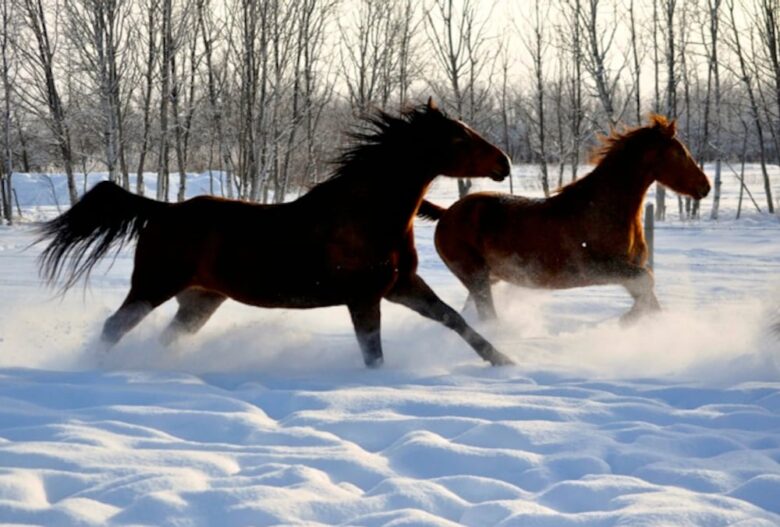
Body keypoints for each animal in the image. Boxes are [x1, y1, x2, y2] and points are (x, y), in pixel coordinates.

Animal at [38, 99, 514, 367]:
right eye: (458, 138)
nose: (504, 163)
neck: (369, 216)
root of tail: (164, 211)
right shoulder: (364, 298)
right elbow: (373, 352)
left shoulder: (402, 285)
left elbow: (454, 319)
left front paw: (503, 360)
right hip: (153, 286)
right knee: (113, 327)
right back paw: (91, 370)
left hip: (199, 299)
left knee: (163, 336)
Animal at [418, 115, 711, 323]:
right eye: (680, 152)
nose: (705, 186)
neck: (605, 209)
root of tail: (447, 213)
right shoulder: (599, 268)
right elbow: (646, 280)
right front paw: (625, 321)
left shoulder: (627, 272)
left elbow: (649, 297)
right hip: (476, 277)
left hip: (488, 278)